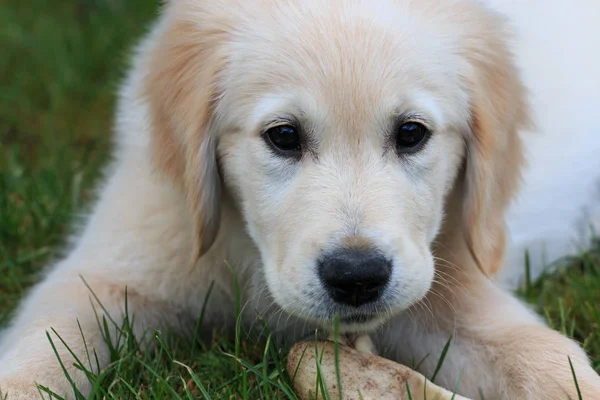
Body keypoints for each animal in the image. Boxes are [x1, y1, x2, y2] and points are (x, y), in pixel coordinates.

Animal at [1, 0, 600, 398]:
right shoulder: (114, 268)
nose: (357, 277)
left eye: (412, 134)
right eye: (284, 136)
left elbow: (548, 360)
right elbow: (43, 352)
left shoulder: (454, 287)